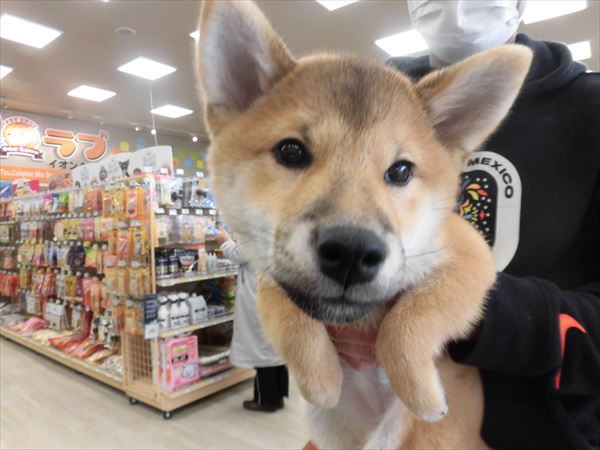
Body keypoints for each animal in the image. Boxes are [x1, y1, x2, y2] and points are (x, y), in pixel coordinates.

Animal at [196, 2, 531, 448]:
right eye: (291, 151)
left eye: (401, 171)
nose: (352, 252)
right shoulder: (272, 274)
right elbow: (290, 319)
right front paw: (320, 379)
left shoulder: (467, 256)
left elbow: (408, 323)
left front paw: (423, 393)